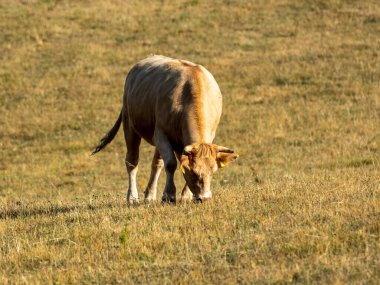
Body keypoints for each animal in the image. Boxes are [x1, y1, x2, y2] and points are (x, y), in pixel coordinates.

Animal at [93, 55, 238, 202]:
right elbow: (171, 164)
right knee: (132, 161)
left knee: (156, 164)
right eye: (193, 172)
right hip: (129, 124)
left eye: (213, 172)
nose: (204, 198)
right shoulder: (161, 134)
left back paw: (150, 196)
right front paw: (169, 195)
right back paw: (132, 197)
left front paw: (186, 196)